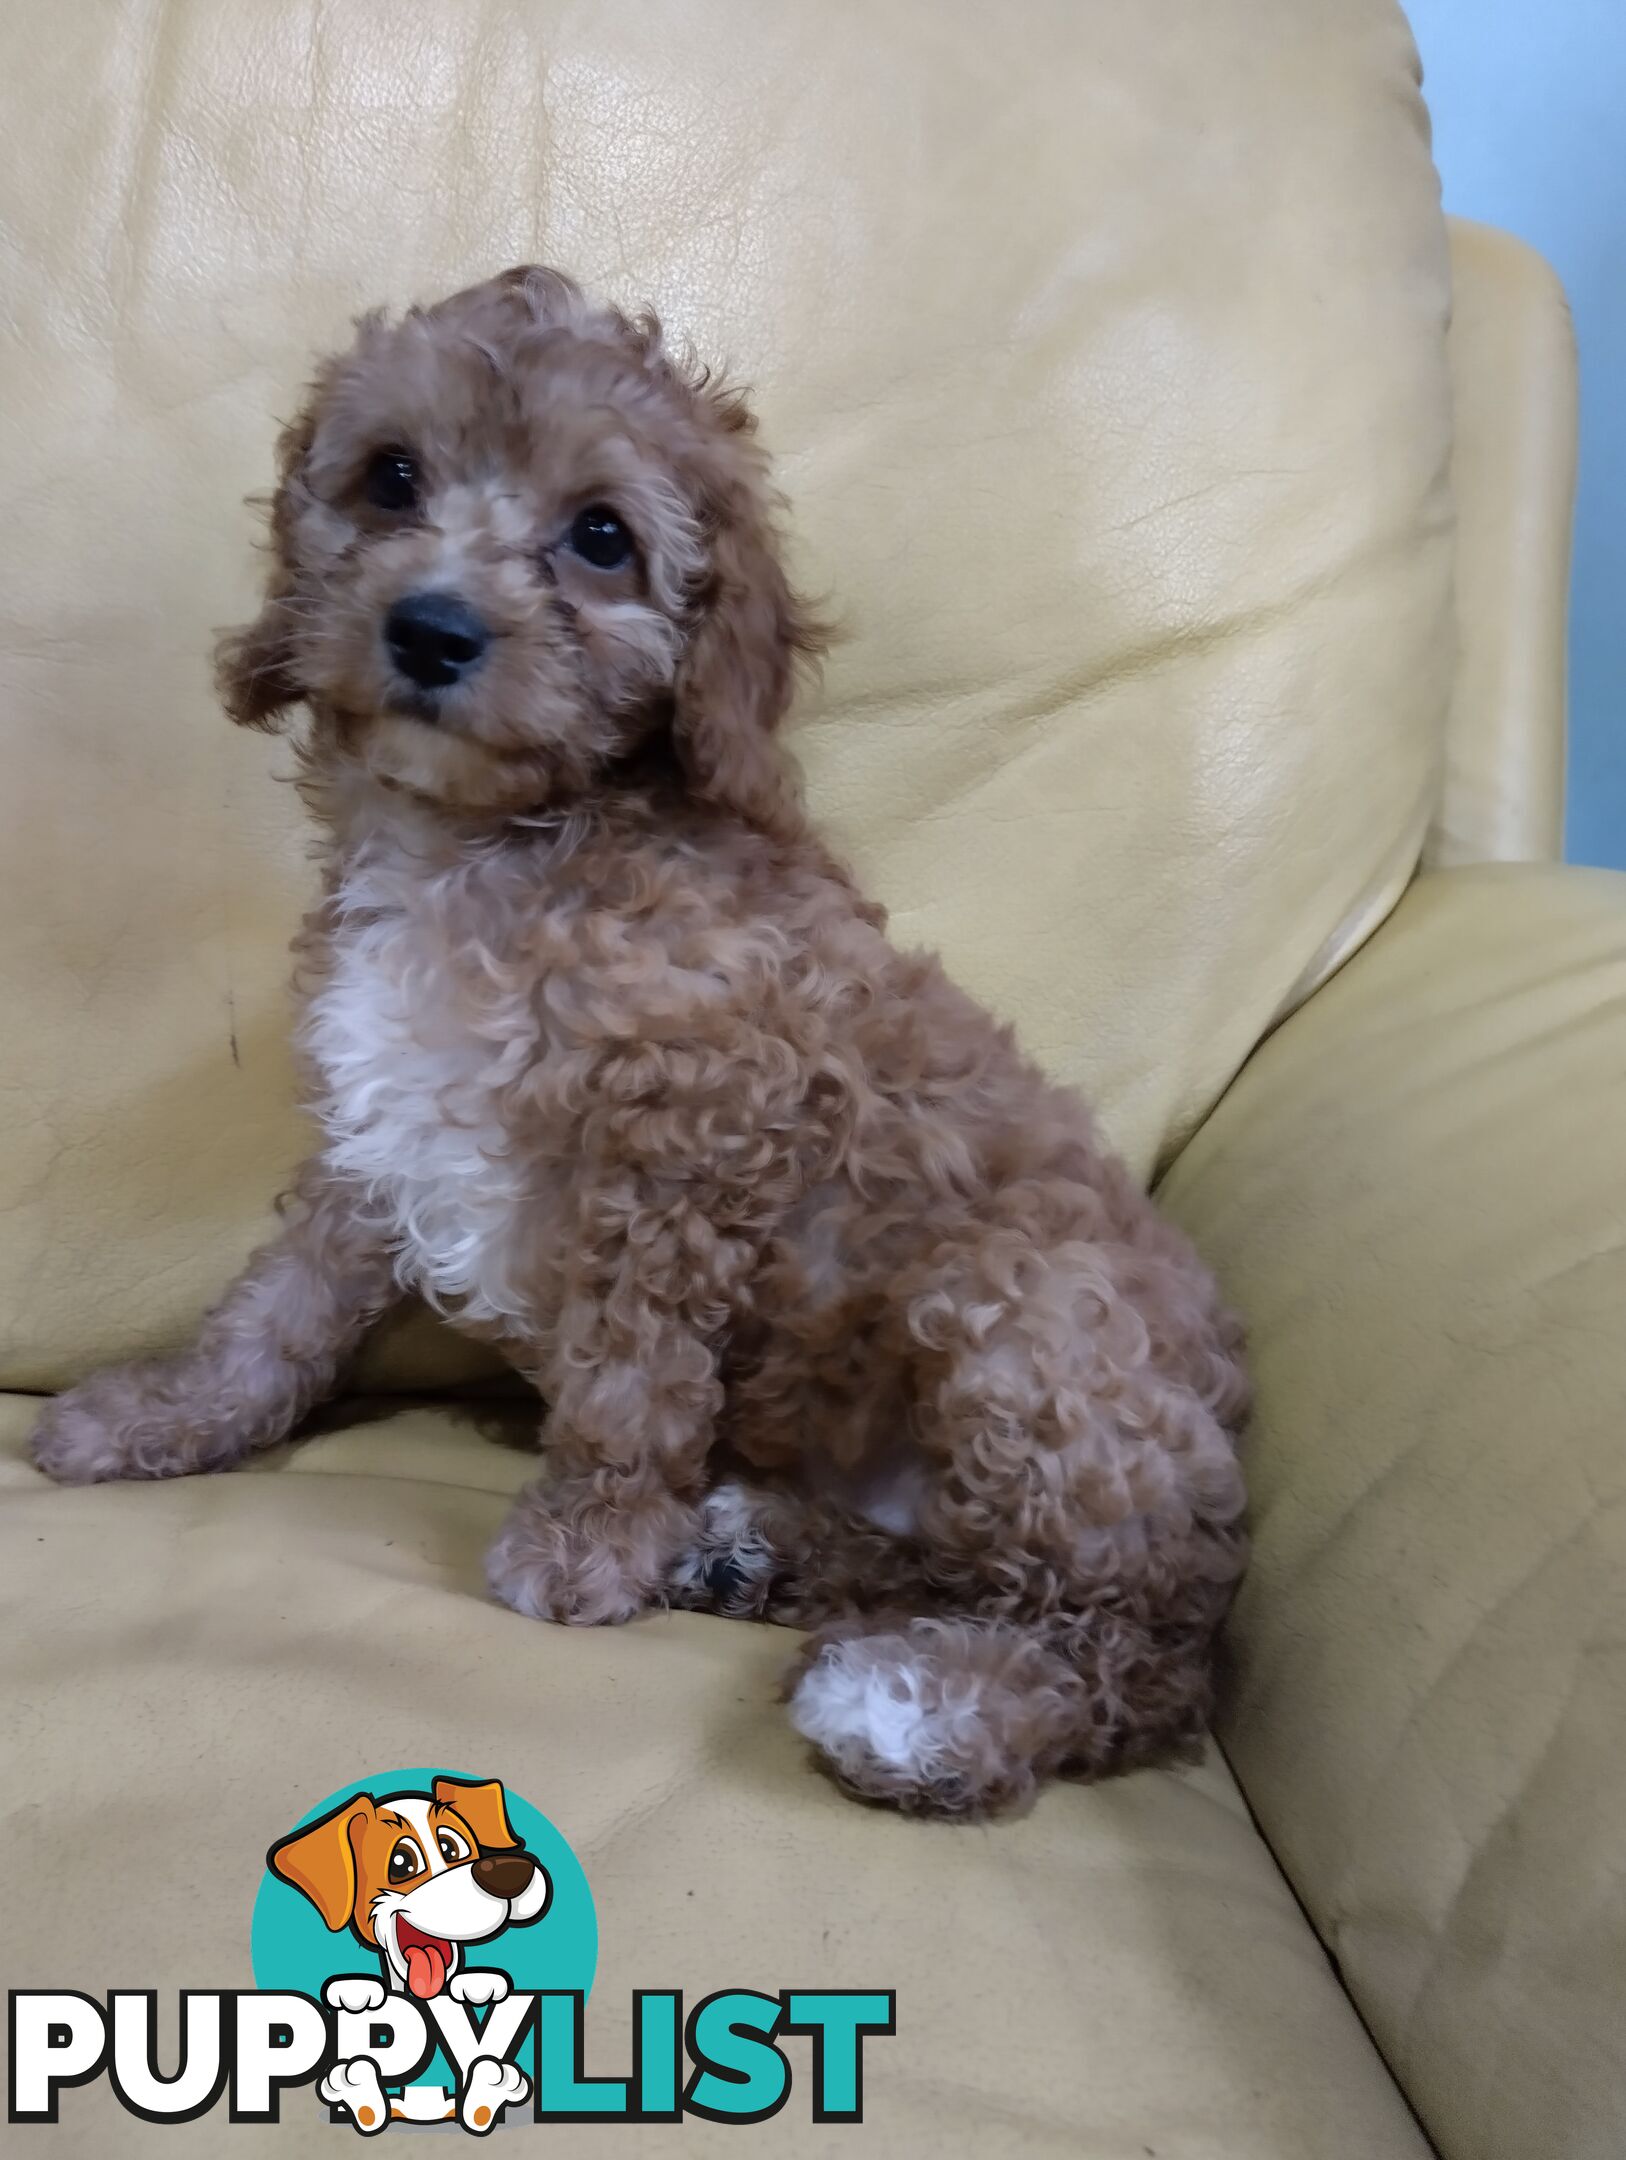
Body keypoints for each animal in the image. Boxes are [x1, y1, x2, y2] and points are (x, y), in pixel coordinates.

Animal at [31, 270, 1252, 1823]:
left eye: (601, 537)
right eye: (391, 478)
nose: (430, 630)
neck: (492, 847)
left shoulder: (684, 1137)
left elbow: (632, 1371)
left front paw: (590, 1542)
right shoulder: (381, 1125)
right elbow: (277, 1311)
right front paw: (161, 1415)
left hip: (1024, 1317)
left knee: (1122, 1654)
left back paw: (924, 1709)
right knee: (950, 1569)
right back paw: (748, 1545)